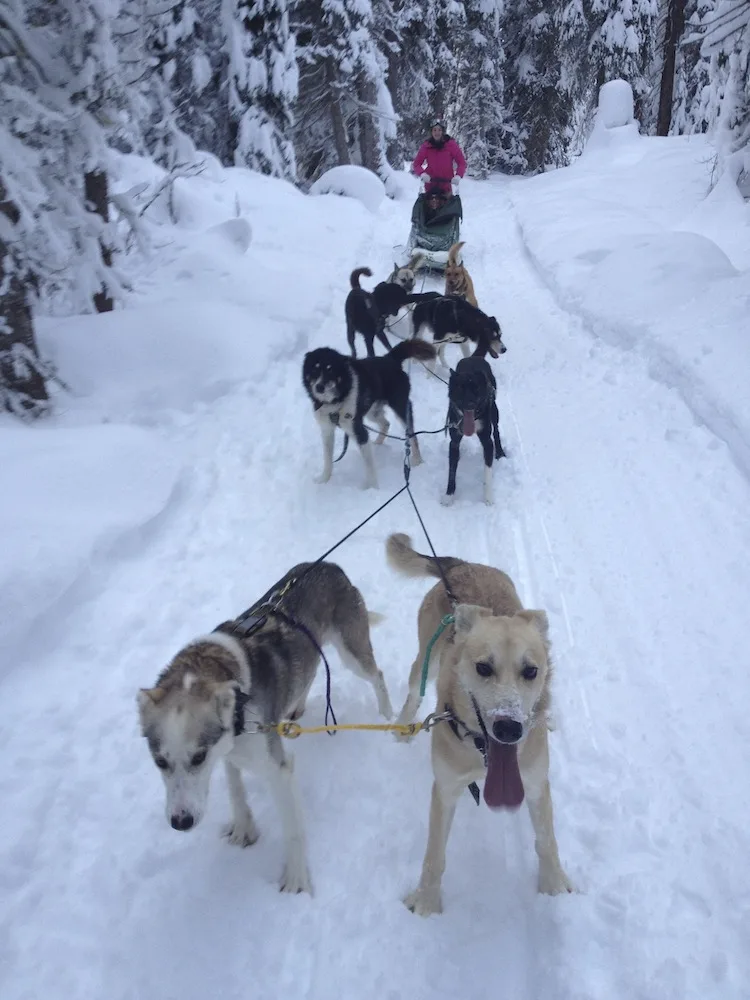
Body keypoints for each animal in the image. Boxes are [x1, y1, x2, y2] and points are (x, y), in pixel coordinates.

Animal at [302, 338, 438, 490]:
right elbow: (327, 458)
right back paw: (378, 443)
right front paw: (324, 479)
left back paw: (417, 460)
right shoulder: (327, 430)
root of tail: (390, 358)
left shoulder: (358, 431)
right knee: (386, 423)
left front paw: (371, 487)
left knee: (412, 435)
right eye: (314, 370)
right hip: (372, 412)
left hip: (401, 410)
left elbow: (369, 464)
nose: (319, 387)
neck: (337, 400)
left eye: (330, 370)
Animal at [384, 536, 572, 916]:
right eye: (483, 667)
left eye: (531, 671)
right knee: (413, 693)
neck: (484, 755)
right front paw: (426, 902)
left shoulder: (535, 783)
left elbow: (546, 841)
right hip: (423, 662)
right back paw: (402, 726)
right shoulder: (445, 789)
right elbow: (434, 856)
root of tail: (462, 565)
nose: (509, 729)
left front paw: (553, 886)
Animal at [444, 354, 508, 508]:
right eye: (460, 388)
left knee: (496, 431)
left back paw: (500, 452)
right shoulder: (454, 442)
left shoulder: (487, 441)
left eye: (476, 388)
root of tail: (473, 356)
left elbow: (487, 471)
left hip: (494, 410)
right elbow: (451, 471)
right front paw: (448, 496)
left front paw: (488, 497)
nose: (470, 404)